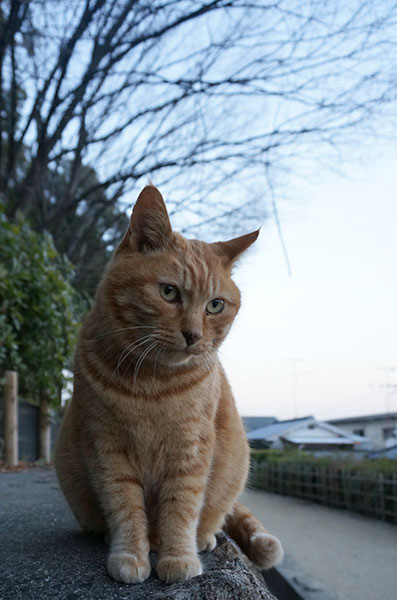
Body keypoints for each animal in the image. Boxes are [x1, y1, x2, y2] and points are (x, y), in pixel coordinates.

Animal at [55, 185, 282, 584]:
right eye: (169, 293)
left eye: (215, 305)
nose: (193, 335)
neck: (152, 385)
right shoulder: (107, 447)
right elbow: (125, 507)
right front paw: (131, 553)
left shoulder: (190, 451)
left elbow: (180, 508)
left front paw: (177, 557)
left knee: (213, 515)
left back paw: (202, 538)